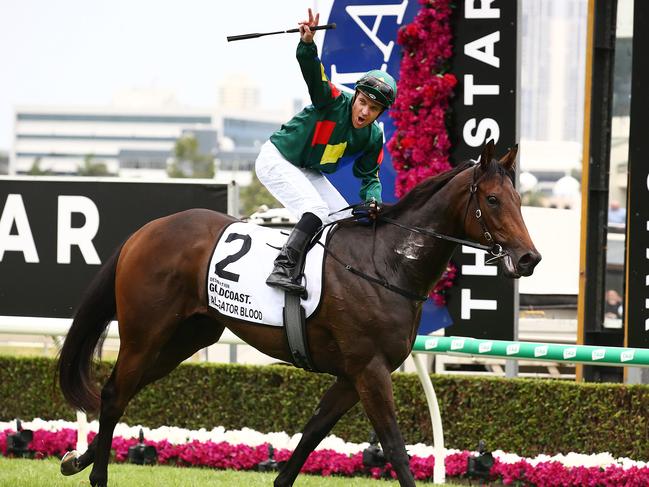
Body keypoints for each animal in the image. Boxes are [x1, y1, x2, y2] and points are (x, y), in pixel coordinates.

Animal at [57, 139, 540, 486]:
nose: (529, 258)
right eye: (492, 200)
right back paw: (96, 475)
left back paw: (76, 460)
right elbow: (395, 448)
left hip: (185, 338)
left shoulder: (351, 375)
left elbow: (310, 436)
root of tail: (145, 230)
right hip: (146, 332)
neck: (388, 263)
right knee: (115, 392)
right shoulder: (370, 370)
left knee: (121, 392)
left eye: (519, 200)